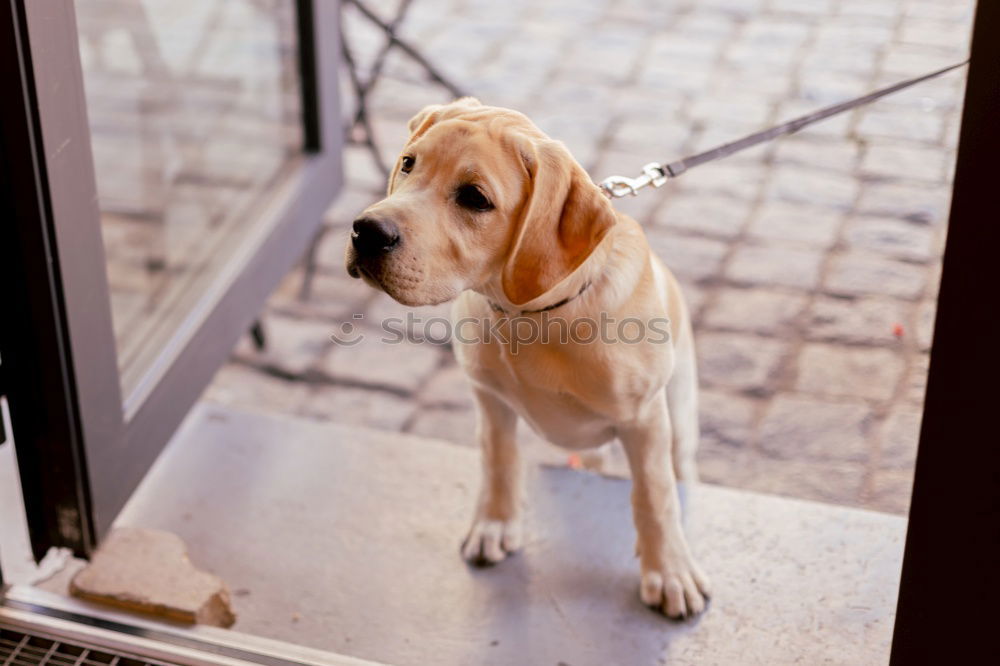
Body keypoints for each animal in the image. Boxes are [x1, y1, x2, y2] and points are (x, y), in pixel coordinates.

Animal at [344, 96, 712, 616]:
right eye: (408, 163)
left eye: (475, 198)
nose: (366, 231)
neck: (532, 316)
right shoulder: (491, 401)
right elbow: (499, 462)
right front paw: (495, 524)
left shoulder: (644, 421)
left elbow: (654, 497)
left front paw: (670, 572)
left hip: (678, 419)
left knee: (677, 471)